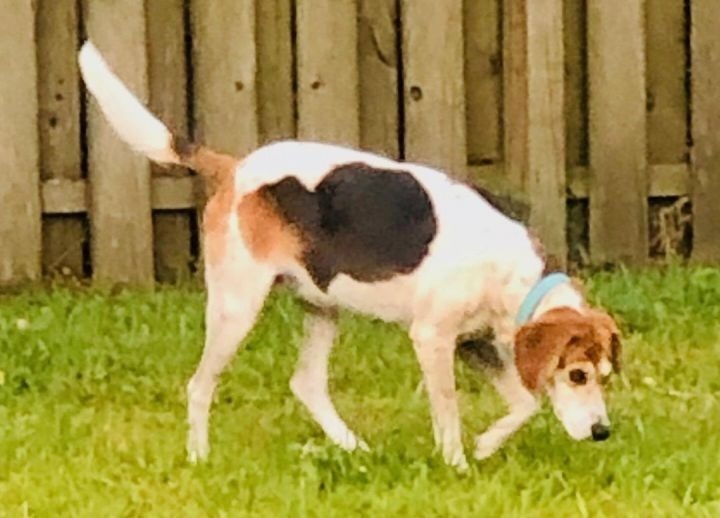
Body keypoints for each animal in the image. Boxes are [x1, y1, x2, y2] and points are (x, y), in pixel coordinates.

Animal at [77, 41, 620, 472]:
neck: (514, 278)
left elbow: (525, 404)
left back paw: (354, 448)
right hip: (237, 306)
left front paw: (486, 445)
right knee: (199, 386)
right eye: (577, 374)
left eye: (604, 377)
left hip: (322, 305)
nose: (602, 433)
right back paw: (199, 456)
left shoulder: (474, 343)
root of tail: (236, 168)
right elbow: (449, 411)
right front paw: (458, 464)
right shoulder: (433, 339)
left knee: (306, 383)